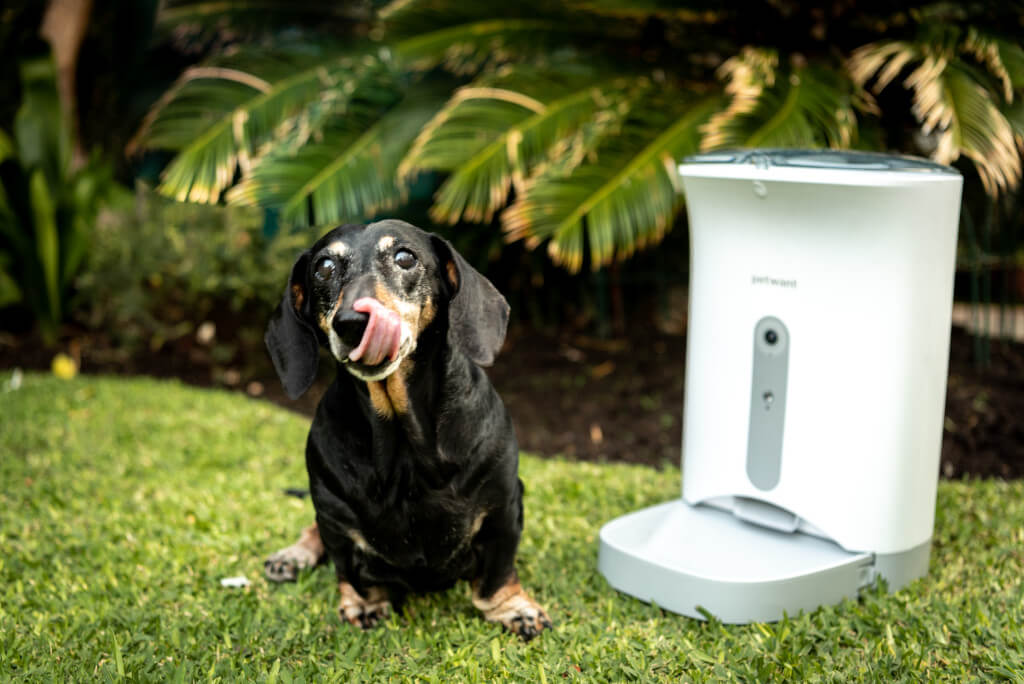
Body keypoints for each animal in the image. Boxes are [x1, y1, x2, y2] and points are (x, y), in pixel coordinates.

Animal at [264, 220, 552, 643]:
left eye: (404, 257)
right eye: (323, 268)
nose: (351, 324)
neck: (403, 441)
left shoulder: (503, 506)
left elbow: (498, 573)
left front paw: (512, 609)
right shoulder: (334, 516)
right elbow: (349, 569)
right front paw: (364, 605)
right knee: (312, 531)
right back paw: (292, 556)